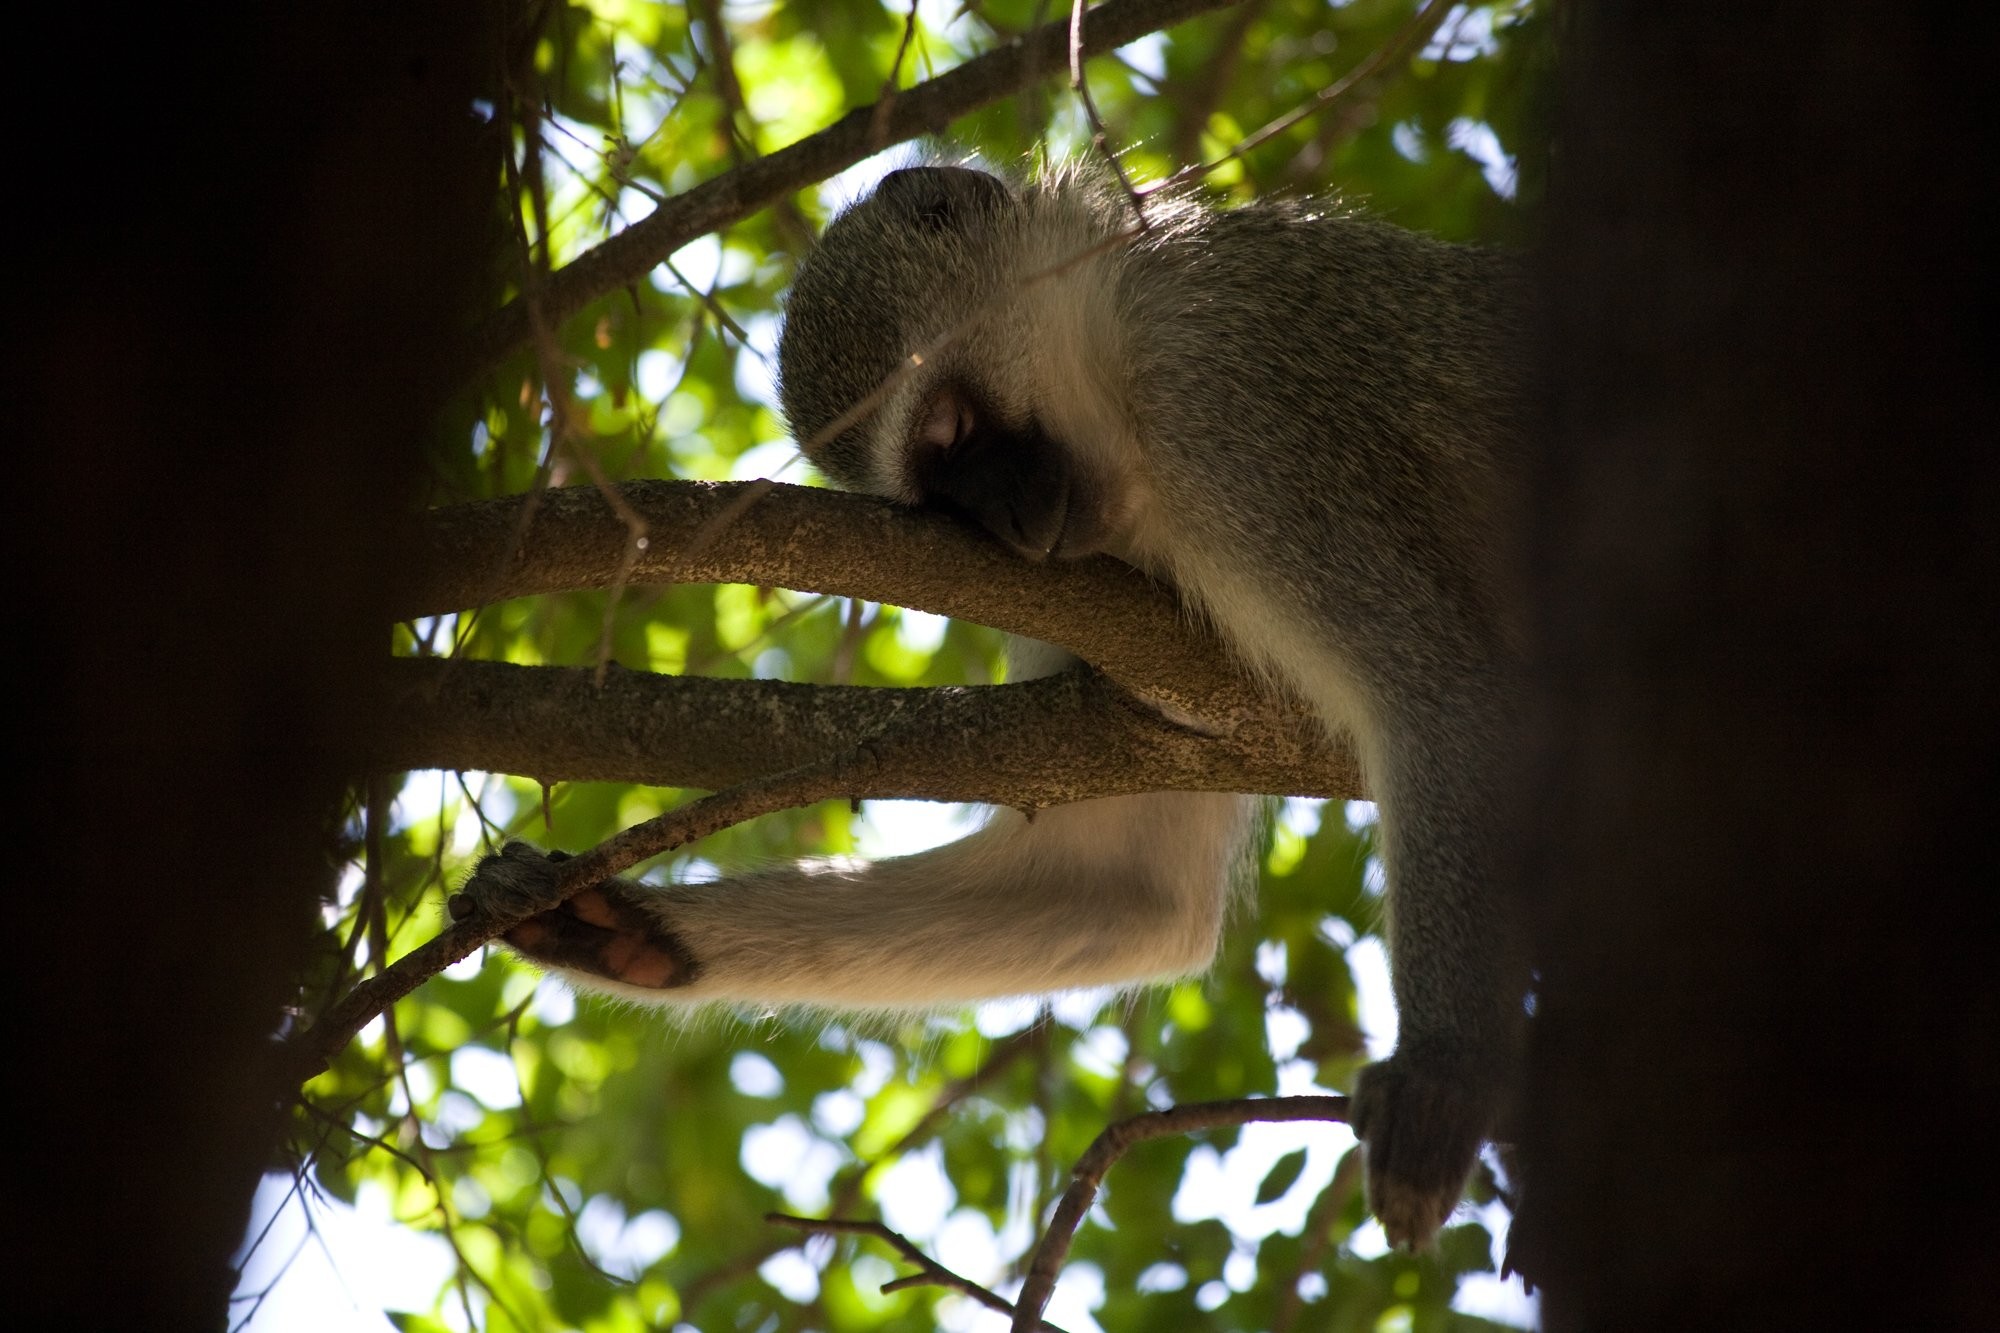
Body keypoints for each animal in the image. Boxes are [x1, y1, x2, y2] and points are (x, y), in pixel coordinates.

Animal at [474, 162, 1531, 1250]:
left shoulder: (1230, 408)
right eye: (937, 501)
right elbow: (1126, 886)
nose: (1018, 529)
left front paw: (1444, 1072)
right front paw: (622, 927)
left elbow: (1439, 687)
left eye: (950, 425)